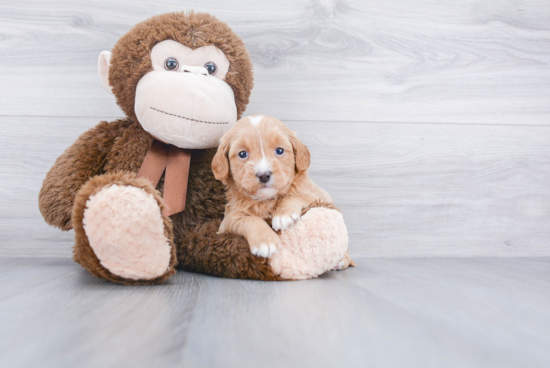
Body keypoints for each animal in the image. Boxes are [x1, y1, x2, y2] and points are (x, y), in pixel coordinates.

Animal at [211, 114, 354, 268]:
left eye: (279, 151)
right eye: (242, 154)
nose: (264, 175)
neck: (266, 200)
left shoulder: (316, 196)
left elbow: (296, 196)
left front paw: (283, 215)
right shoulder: (228, 220)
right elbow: (248, 219)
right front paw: (265, 241)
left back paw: (342, 260)